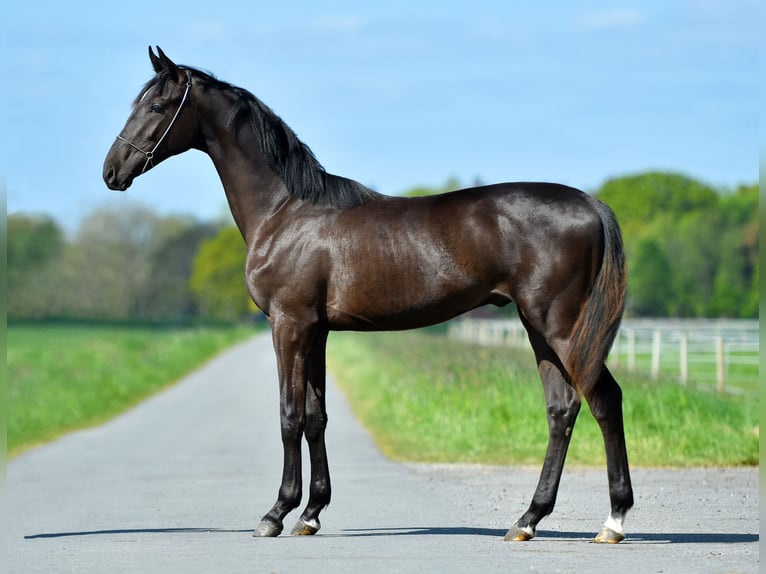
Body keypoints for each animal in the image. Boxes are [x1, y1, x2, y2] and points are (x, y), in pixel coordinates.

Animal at [105, 46, 640, 544]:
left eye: (158, 104)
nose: (112, 171)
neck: (286, 211)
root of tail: (590, 203)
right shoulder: (316, 331)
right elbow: (315, 416)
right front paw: (311, 514)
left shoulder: (289, 325)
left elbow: (288, 415)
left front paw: (276, 514)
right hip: (539, 330)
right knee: (561, 409)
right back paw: (527, 520)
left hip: (561, 327)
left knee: (604, 400)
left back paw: (612, 522)